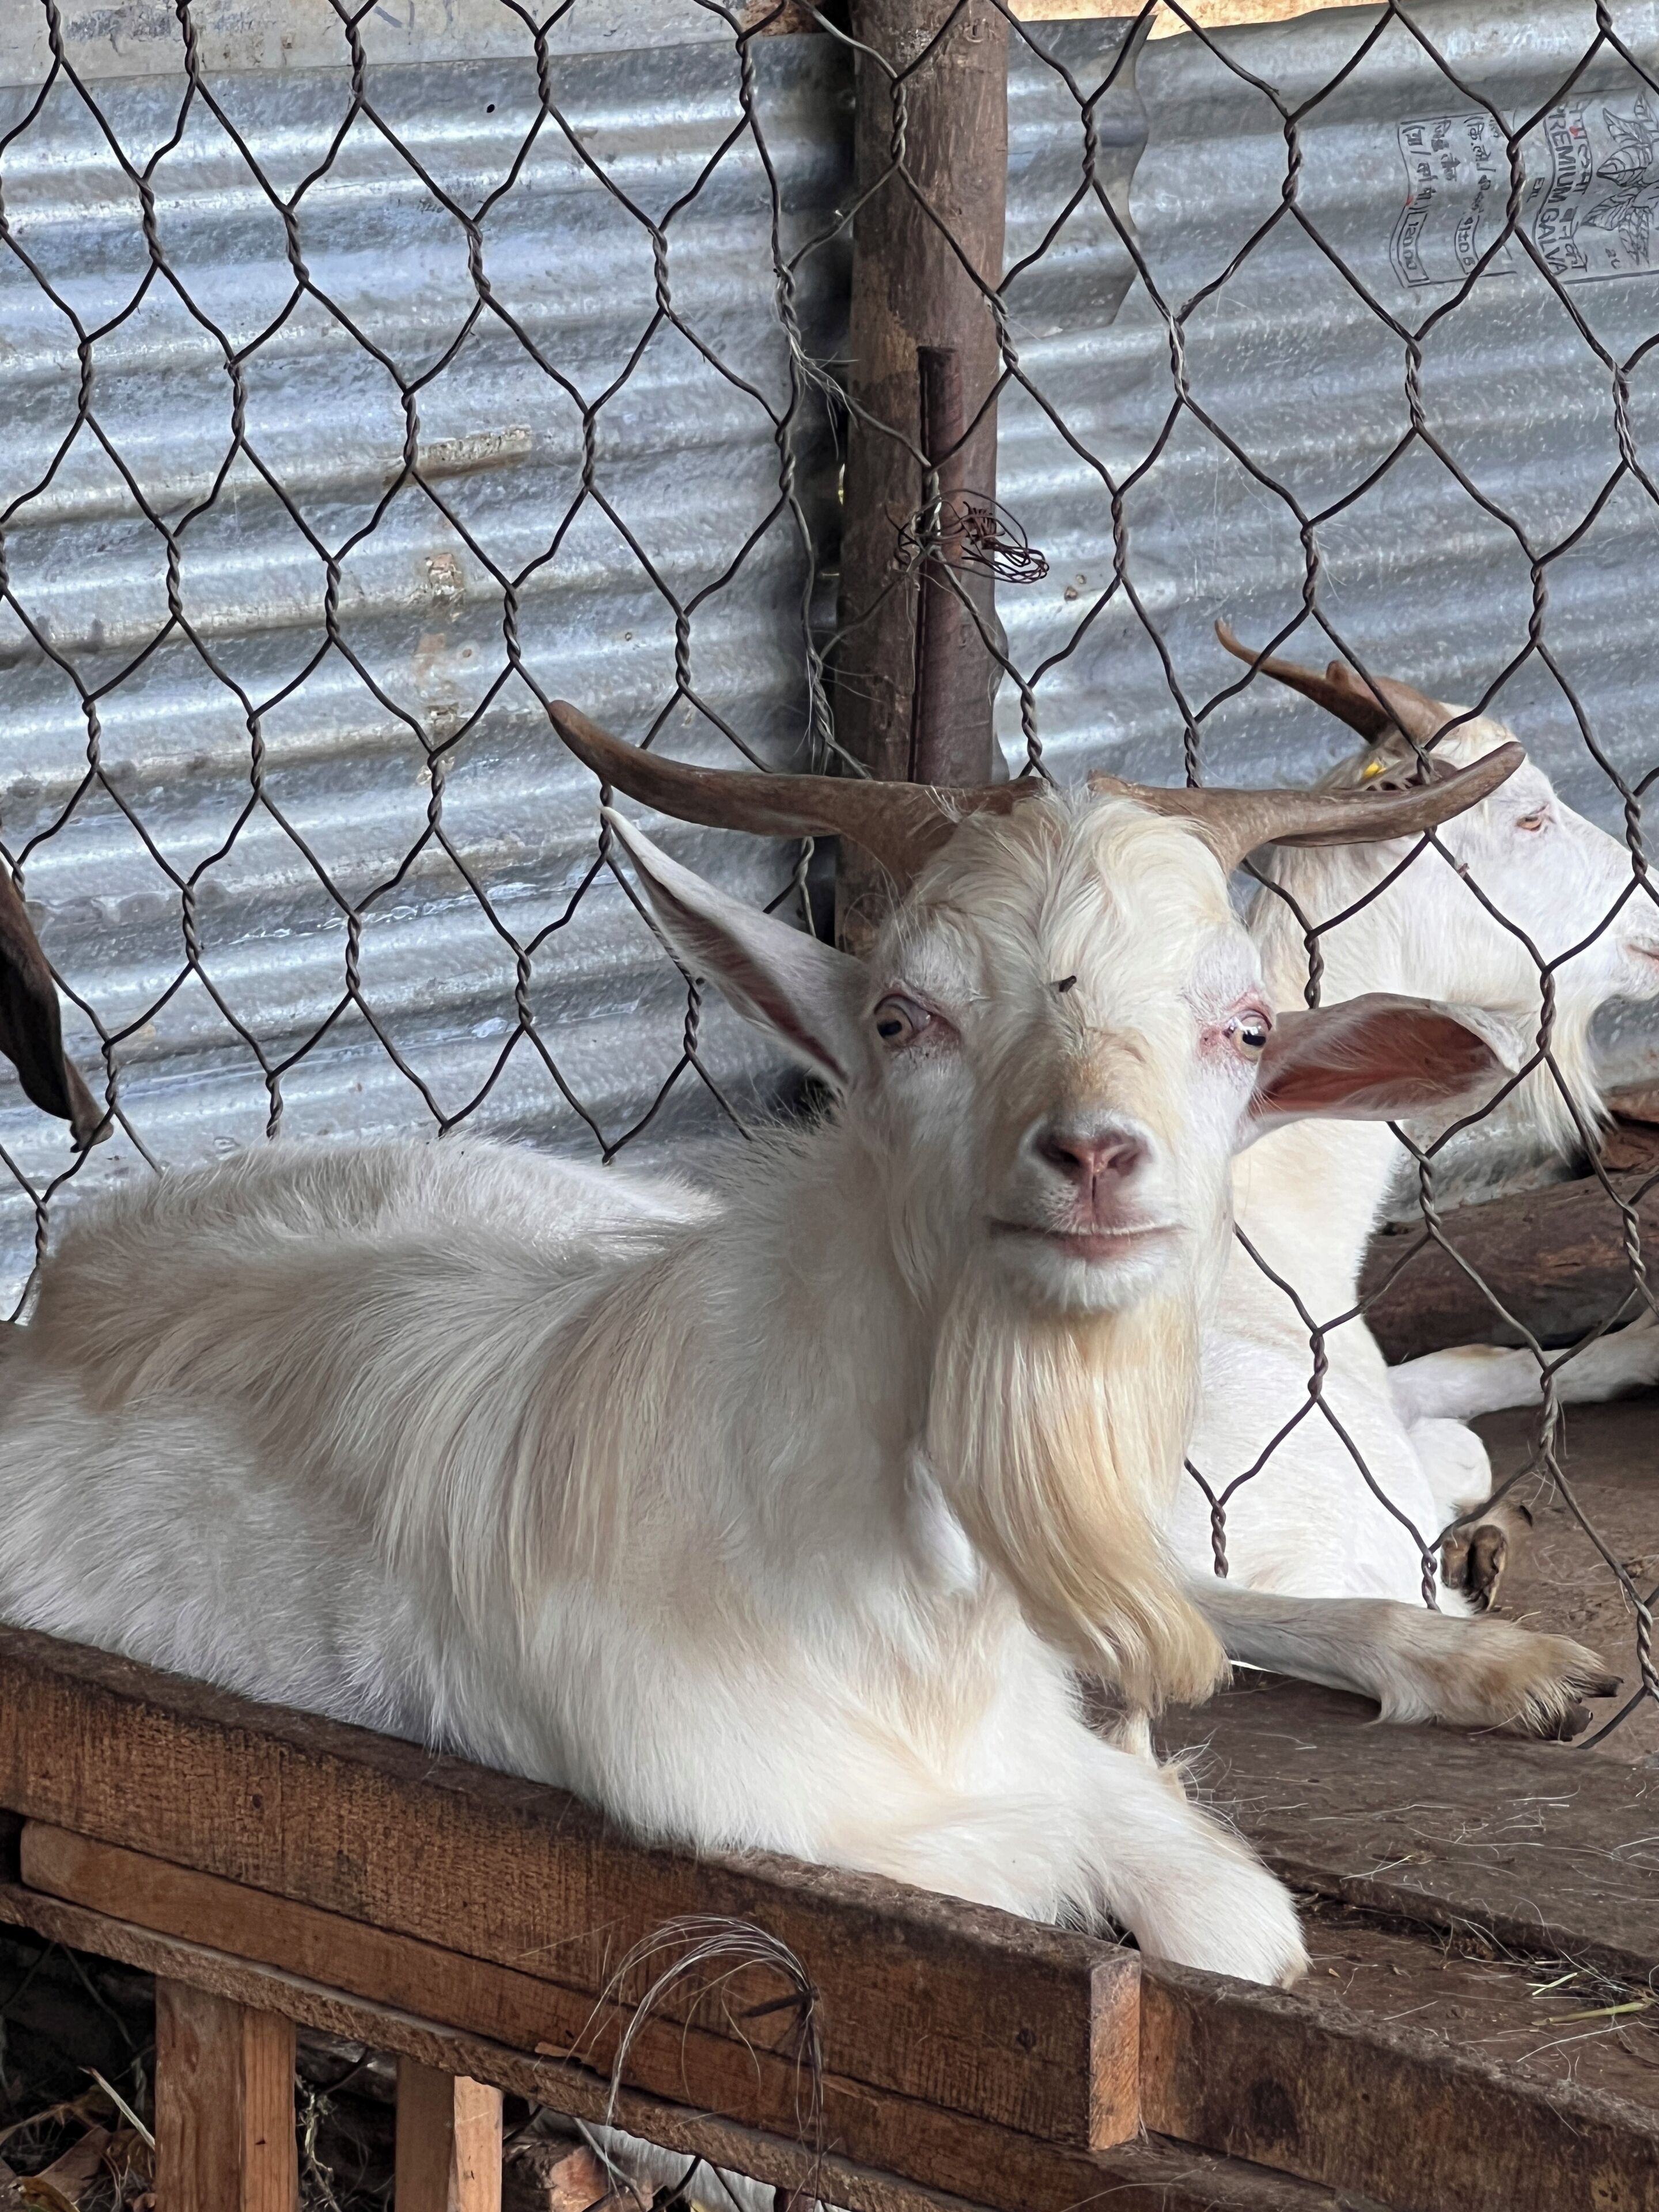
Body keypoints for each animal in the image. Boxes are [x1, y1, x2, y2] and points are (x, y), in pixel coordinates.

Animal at [0, 717, 1604, 1985]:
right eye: (904, 1017)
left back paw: (1496, 1634)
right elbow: (1203, 1916)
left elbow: (1231, 1919)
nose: (1093, 1156)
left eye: (1247, 1026)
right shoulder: (807, 1816)